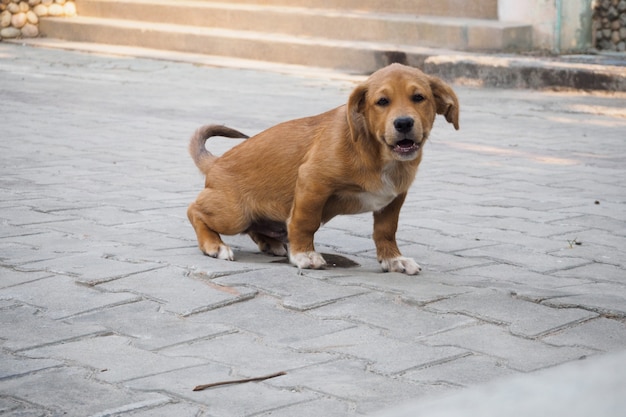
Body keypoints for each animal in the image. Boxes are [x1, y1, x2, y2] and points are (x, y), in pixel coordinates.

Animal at [186, 62, 458, 272]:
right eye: (382, 101)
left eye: (419, 98)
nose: (403, 123)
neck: (378, 155)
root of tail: (216, 162)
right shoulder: (313, 181)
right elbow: (305, 221)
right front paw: (304, 254)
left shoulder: (394, 199)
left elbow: (386, 230)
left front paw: (393, 259)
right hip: (234, 214)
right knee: (194, 211)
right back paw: (214, 245)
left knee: (254, 229)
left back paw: (269, 244)